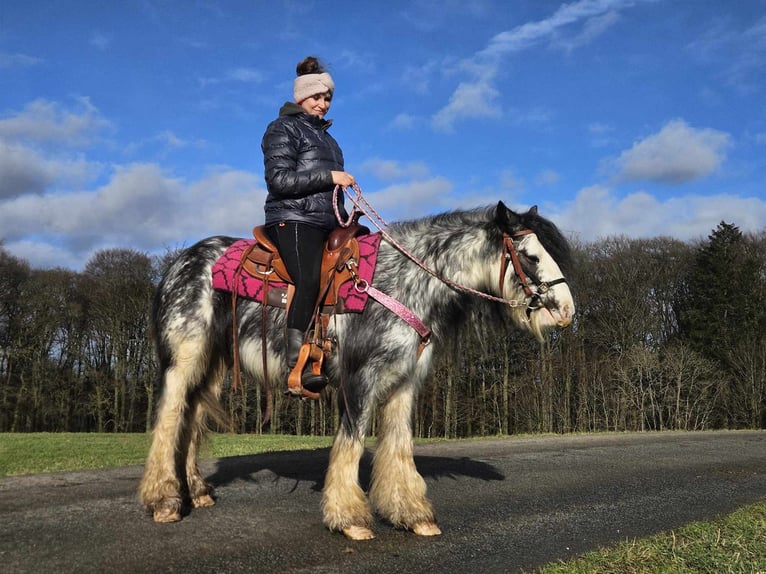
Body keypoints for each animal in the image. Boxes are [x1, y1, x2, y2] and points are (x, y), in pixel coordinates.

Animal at [140, 200, 576, 544]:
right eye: (531, 256)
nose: (567, 310)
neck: (402, 283)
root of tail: (179, 264)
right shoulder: (359, 380)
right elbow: (350, 444)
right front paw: (350, 518)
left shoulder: (403, 382)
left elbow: (398, 446)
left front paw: (413, 514)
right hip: (183, 361)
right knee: (169, 419)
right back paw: (164, 501)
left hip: (211, 366)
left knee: (192, 418)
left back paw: (197, 492)